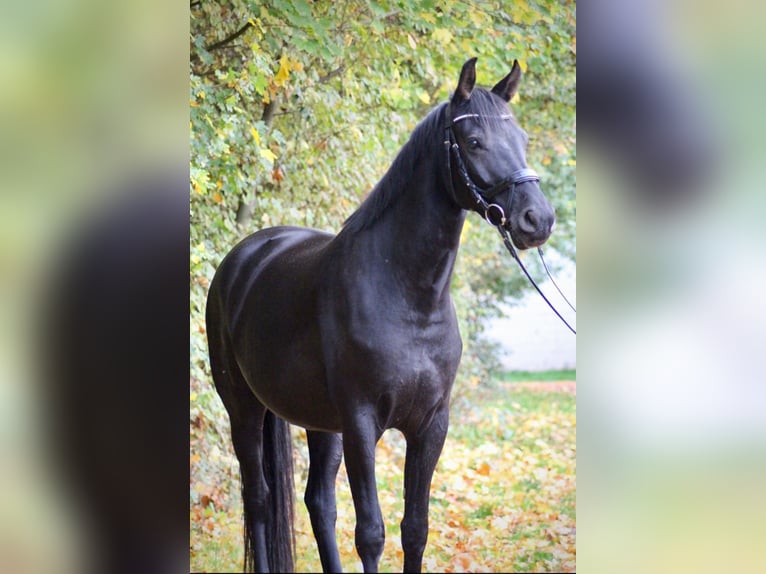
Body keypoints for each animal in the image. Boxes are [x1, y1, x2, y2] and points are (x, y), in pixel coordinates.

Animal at [207, 59, 556, 574]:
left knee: (319, 503)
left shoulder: (430, 425)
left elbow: (415, 530)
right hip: (244, 408)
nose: (538, 220)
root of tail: (244, 258)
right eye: (474, 141)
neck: (409, 299)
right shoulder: (361, 423)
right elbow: (371, 533)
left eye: (523, 139)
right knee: (259, 499)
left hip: (319, 422)